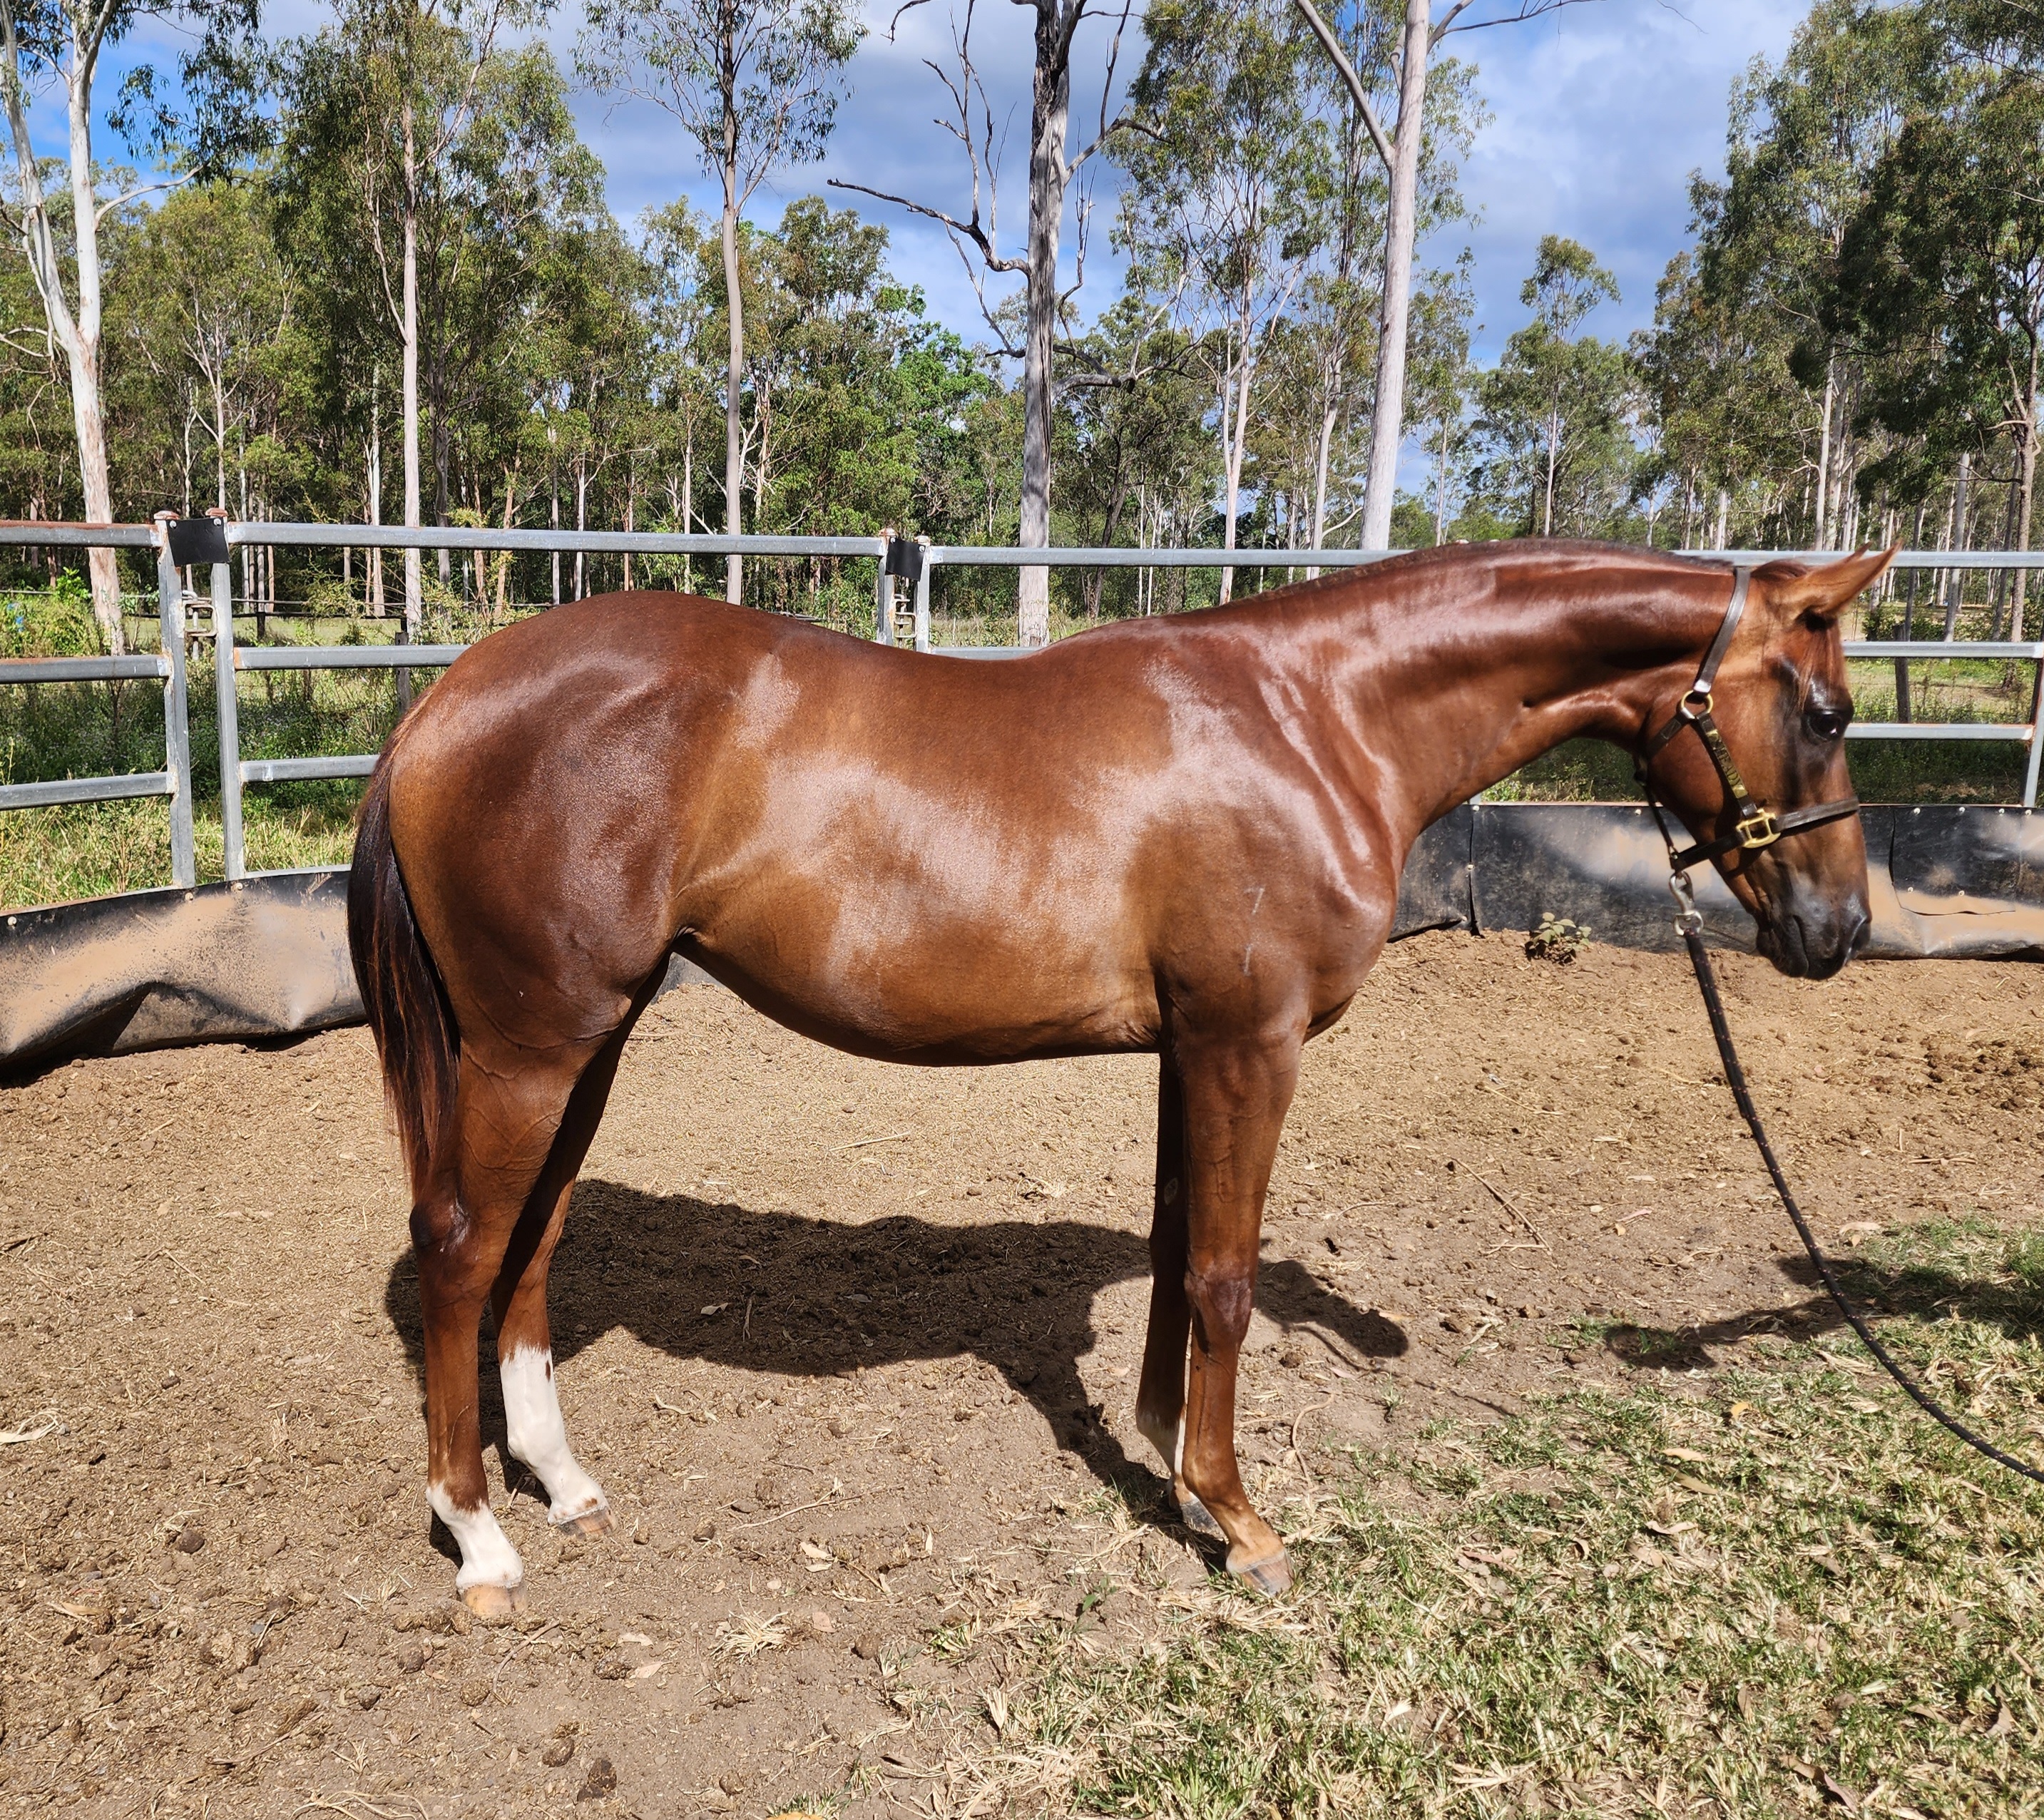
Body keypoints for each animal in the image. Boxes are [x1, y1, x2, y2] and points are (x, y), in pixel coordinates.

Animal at [347, 538, 1891, 1621]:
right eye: (1823, 710)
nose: (1838, 932)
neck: (1311, 719)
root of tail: (444, 699)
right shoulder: (1249, 1043)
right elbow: (1222, 1273)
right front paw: (1240, 1521)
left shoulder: (1189, 1048)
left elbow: (1171, 1249)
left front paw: (1170, 1468)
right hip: (533, 1048)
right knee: (464, 1249)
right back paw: (478, 1534)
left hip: (587, 1039)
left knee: (532, 1248)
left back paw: (562, 1484)